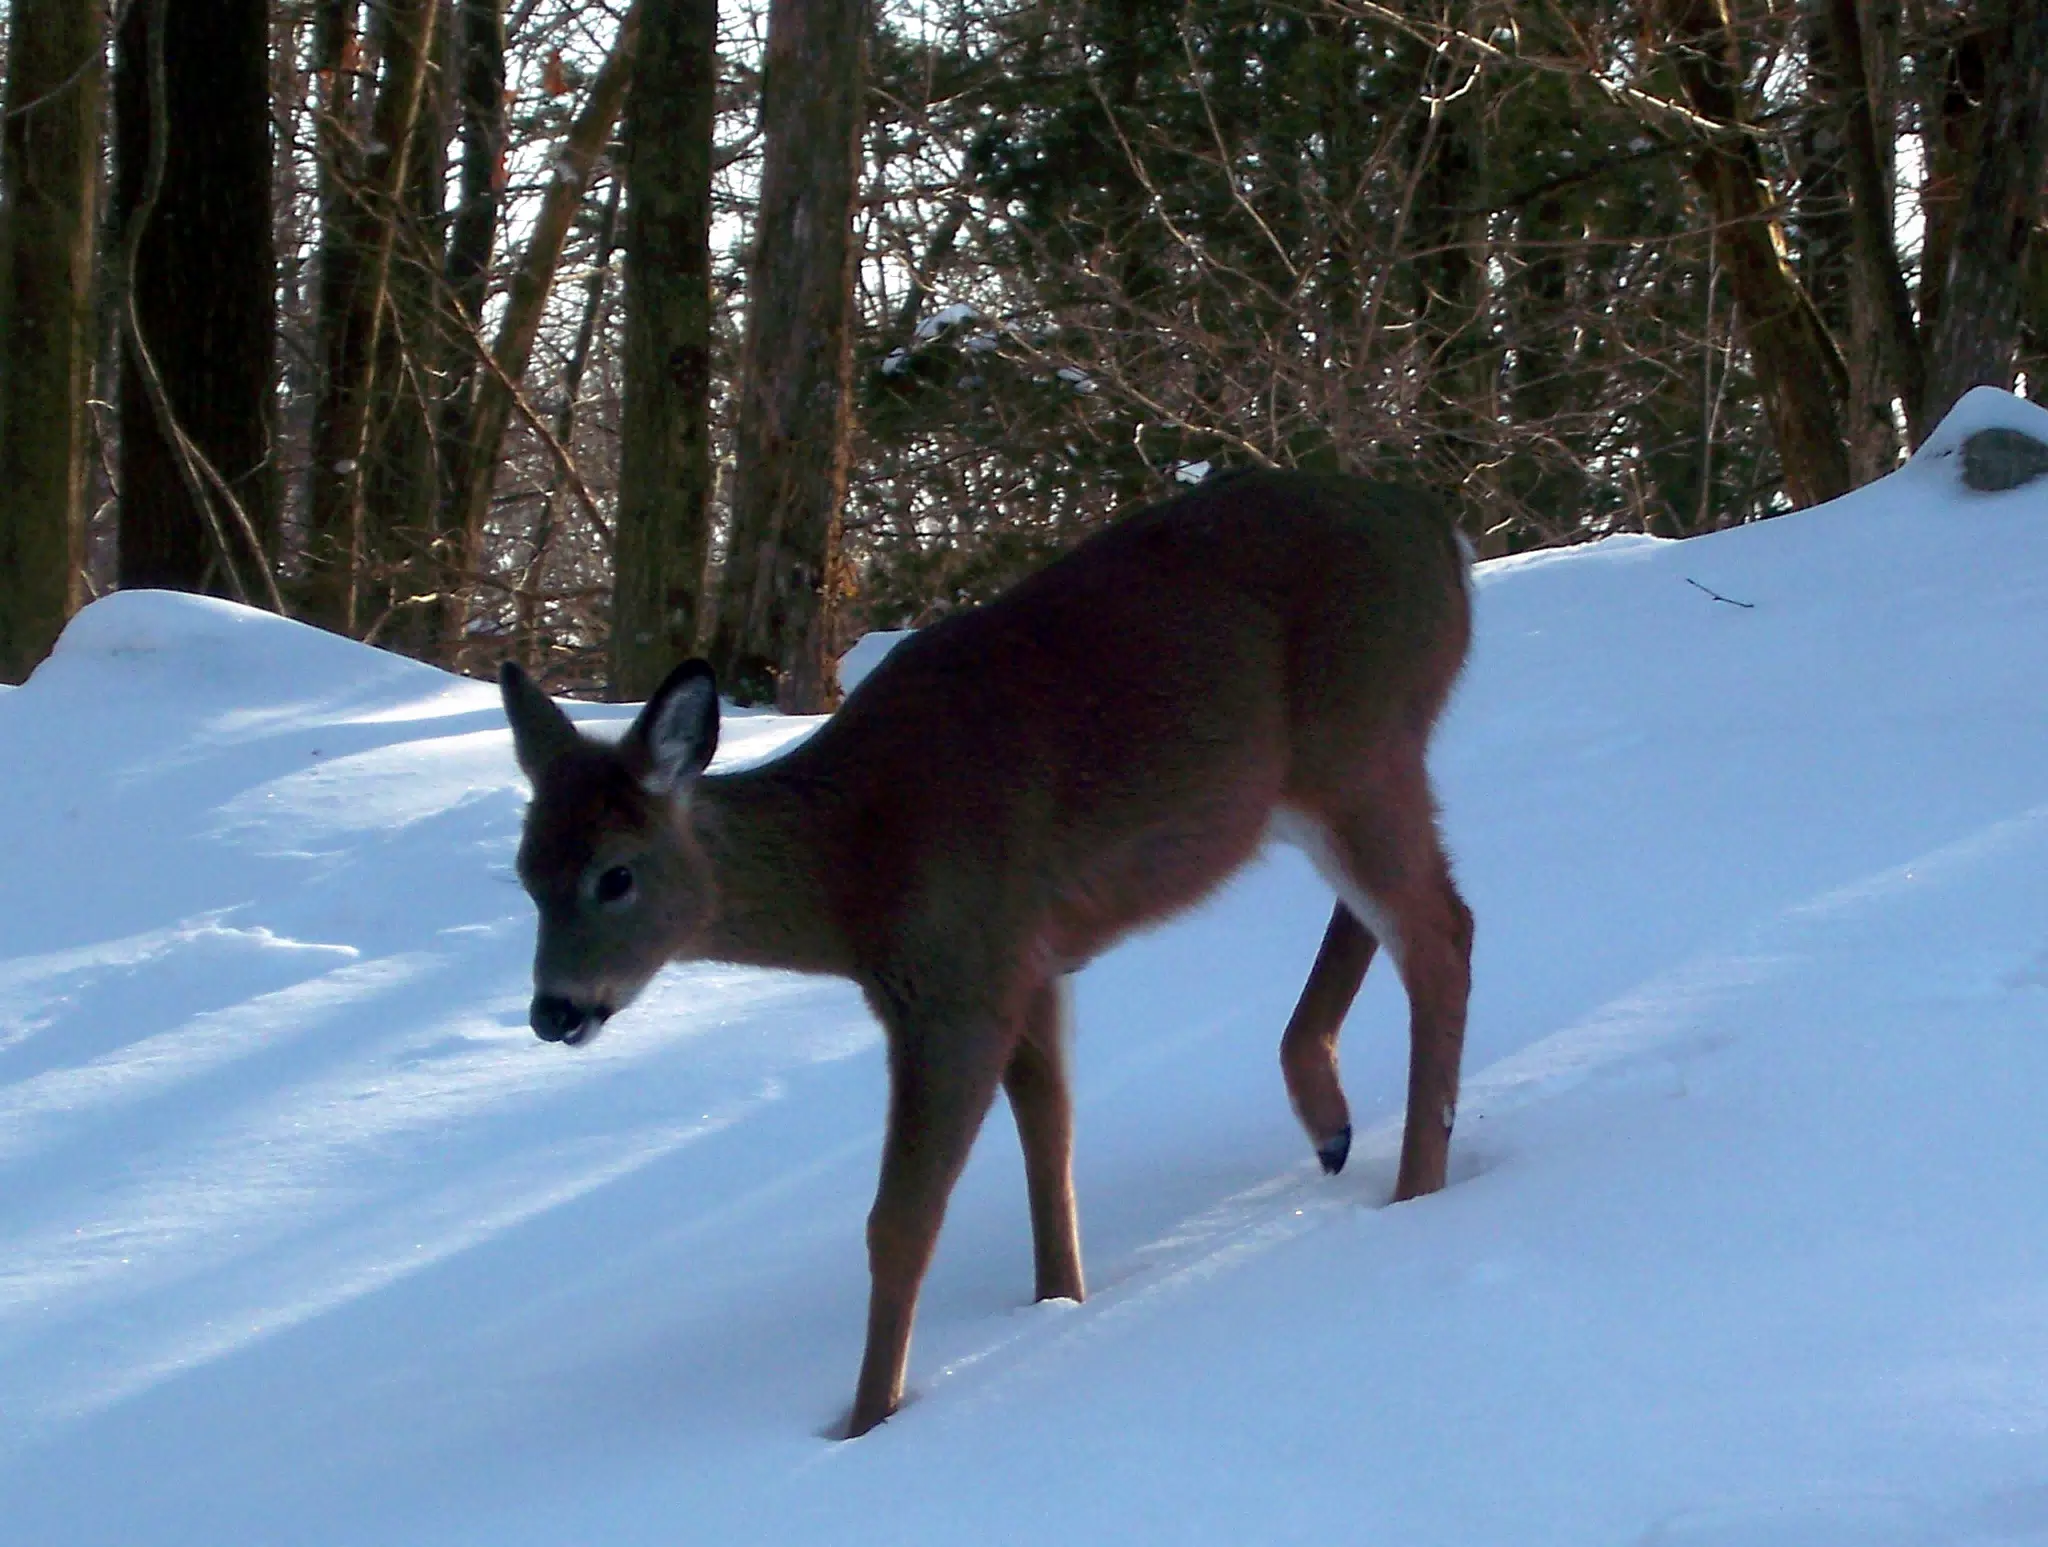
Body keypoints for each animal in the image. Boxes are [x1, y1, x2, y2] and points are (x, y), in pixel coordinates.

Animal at [499, 469, 1476, 1438]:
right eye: (525, 874)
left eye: (615, 876)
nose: (553, 1009)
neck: (855, 874)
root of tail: (1442, 535)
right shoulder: (1028, 963)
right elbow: (1050, 1133)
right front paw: (1057, 1303)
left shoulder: (958, 973)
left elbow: (899, 1220)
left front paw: (867, 1422)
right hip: (1339, 770)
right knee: (1396, 911)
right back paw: (1333, 1122)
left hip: (1355, 740)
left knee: (1441, 930)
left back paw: (1415, 1188)